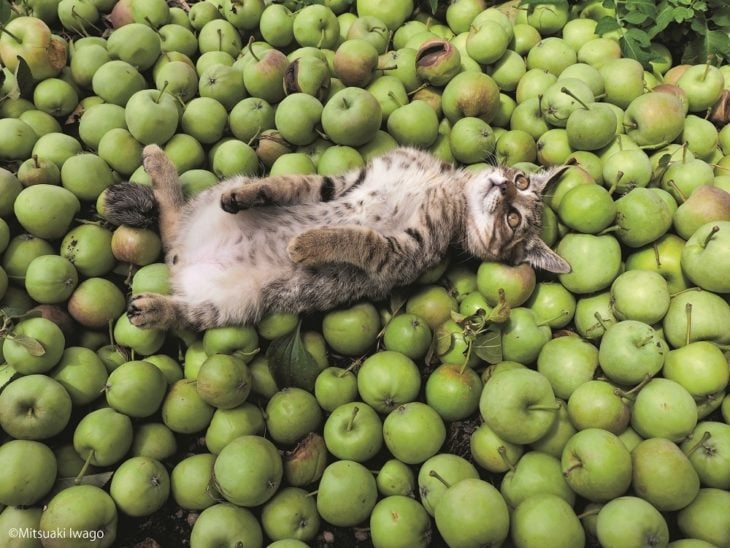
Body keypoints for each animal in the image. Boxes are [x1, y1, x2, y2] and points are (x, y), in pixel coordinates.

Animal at [102, 143, 568, 330]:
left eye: (513, 219)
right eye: (521, 180)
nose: (504, 187)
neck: (446, 185)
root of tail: (183, 258)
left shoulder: (406, 250)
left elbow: (358, 238)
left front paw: (307, 244)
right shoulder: (343, 181)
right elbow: (288, 184)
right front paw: (252, 195)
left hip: (230, 307)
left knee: (182, 288)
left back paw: (154, 310)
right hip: (210, 201)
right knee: (171, 222)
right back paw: (160, 164)